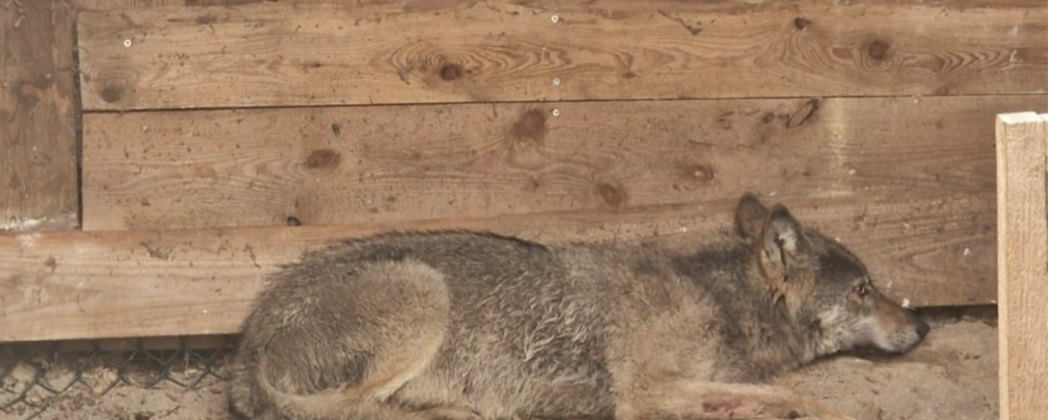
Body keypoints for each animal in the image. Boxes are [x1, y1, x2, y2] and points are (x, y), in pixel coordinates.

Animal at [228, 193, 929, 420]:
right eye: (864, 289)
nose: (924, 324)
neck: (720, 302)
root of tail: (246, 346)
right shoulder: (644, 392)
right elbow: (799, 395)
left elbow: (775, 391)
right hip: (424, 290)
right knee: (345, 412)